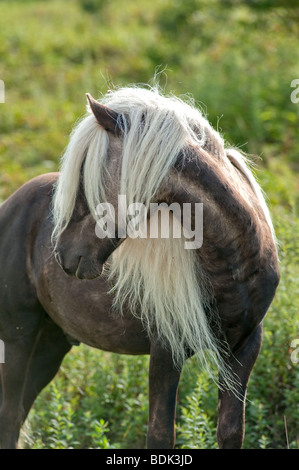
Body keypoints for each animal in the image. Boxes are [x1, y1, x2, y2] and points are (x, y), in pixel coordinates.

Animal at [0, 84, 282, 448]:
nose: (61, 253)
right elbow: (160, 434)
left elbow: (231, 432)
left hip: (51, 343)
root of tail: (9, 206)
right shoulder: (166, 350)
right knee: (9, 417)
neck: (234, 265)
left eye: (84, 177)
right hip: (18, 339)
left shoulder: (244, 347)